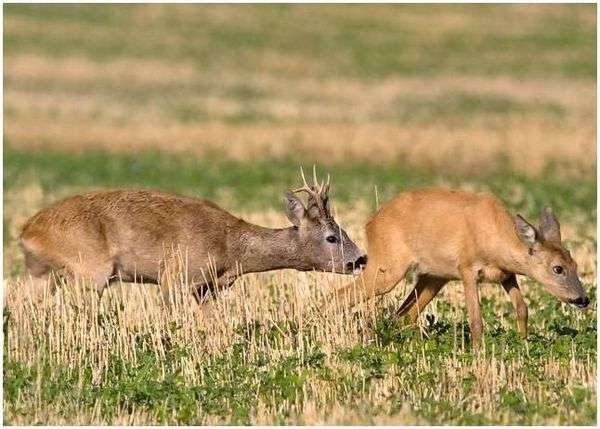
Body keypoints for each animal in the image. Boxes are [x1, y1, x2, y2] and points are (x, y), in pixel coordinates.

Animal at [18, 169, 366, 302]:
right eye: (332, 237)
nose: (360, 259)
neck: (232, 248)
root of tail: (27, 231)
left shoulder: (208, 289)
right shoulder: (176, 277)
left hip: (43, 276)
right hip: (90, 270)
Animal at [330, 187, 588, 348]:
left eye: (575, 264)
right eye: (558, 268)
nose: (583, 299)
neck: (496, 239)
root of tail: (371, 222)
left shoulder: (506, 275)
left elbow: (522, 309)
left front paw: (523, 345)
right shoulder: (467, 268)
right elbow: (476, 320)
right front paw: (478, 355)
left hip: (433, 277)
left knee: (404, 315)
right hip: (387, 266)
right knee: (336, 296)